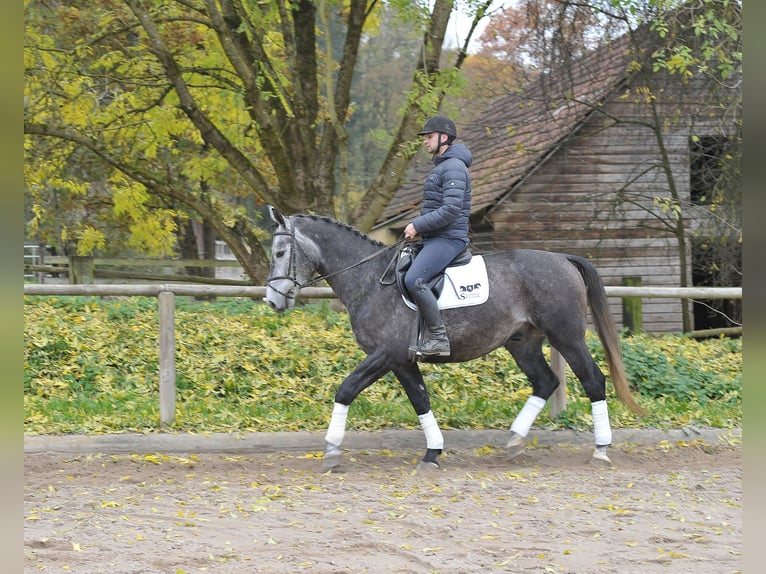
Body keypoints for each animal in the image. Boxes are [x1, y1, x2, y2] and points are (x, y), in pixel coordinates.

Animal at [264, 207, 648, 472]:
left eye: (280, 253)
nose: (272, 301)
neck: (371, 280)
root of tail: (563, 259)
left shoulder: (385, 354)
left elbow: (345, 389)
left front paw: (331, 450)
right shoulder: (402, 361)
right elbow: (420, 401)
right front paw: (432, 453)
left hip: (567, 337)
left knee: (593, 380)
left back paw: (600, 449)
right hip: (522, 342)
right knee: (545, 381)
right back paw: (514, 441)